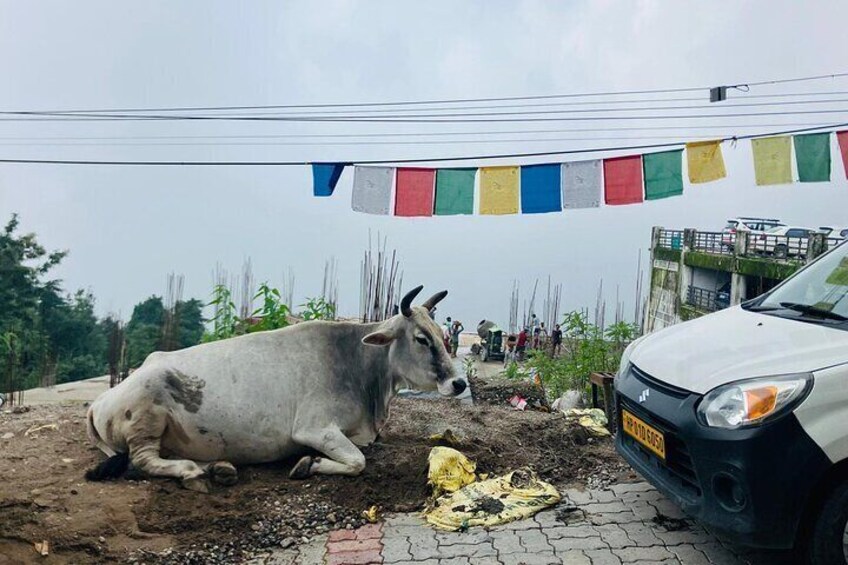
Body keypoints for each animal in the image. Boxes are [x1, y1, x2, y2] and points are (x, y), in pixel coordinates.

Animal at [84, 286, 464, 490]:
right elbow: (357, 462)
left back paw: (220, 468)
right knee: (144, 459)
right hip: (145, 417)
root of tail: (100, 400)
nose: (458, 383)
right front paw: (308, 464)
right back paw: (193, 472)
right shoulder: (314, 429)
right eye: (421, 338)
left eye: (441, 334)